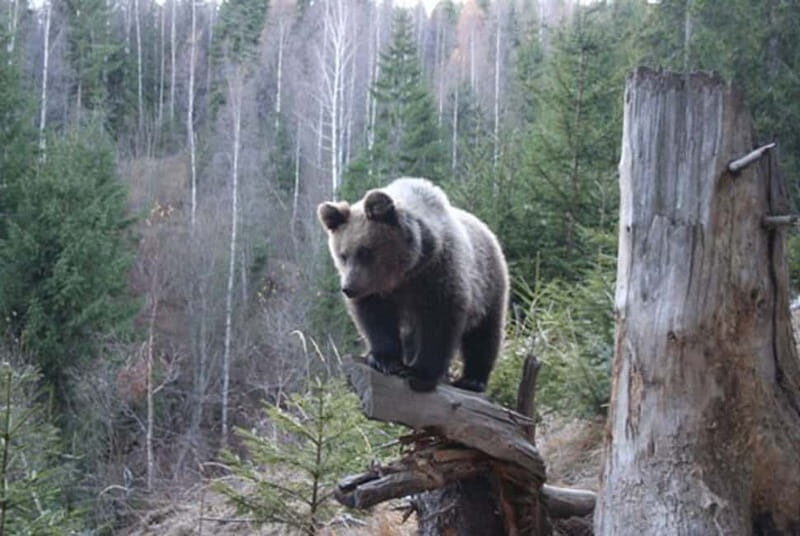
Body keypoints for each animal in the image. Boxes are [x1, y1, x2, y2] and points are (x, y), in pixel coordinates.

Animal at [317, 177, 509, 393]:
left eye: (365, 252)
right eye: (343, 255)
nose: (349, 288)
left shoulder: (438, 273)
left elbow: (439, 321)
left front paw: (419, 373)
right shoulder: (377, 291)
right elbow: (375, 318)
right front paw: (385, 360)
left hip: (489, 283)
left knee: (485, 332)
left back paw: (472, 379)